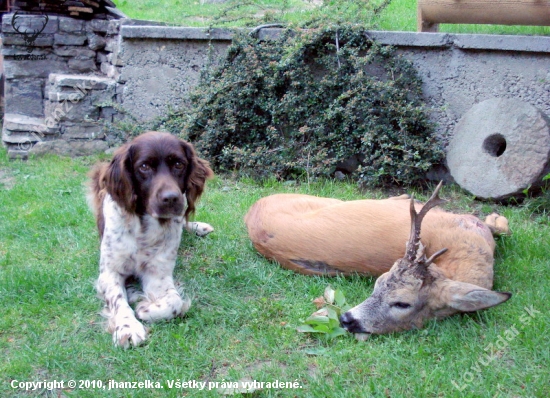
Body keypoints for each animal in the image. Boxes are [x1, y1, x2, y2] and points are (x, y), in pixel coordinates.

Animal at [88, 132, 213, 346]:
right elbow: (118, 299)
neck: (143, 229)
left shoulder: (158, 273)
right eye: (144, 166)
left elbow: (175, 301)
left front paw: (145, 307)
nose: (170, 198)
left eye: (179, 164)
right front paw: (128, 326)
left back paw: (199, 227)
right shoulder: (109, 272)